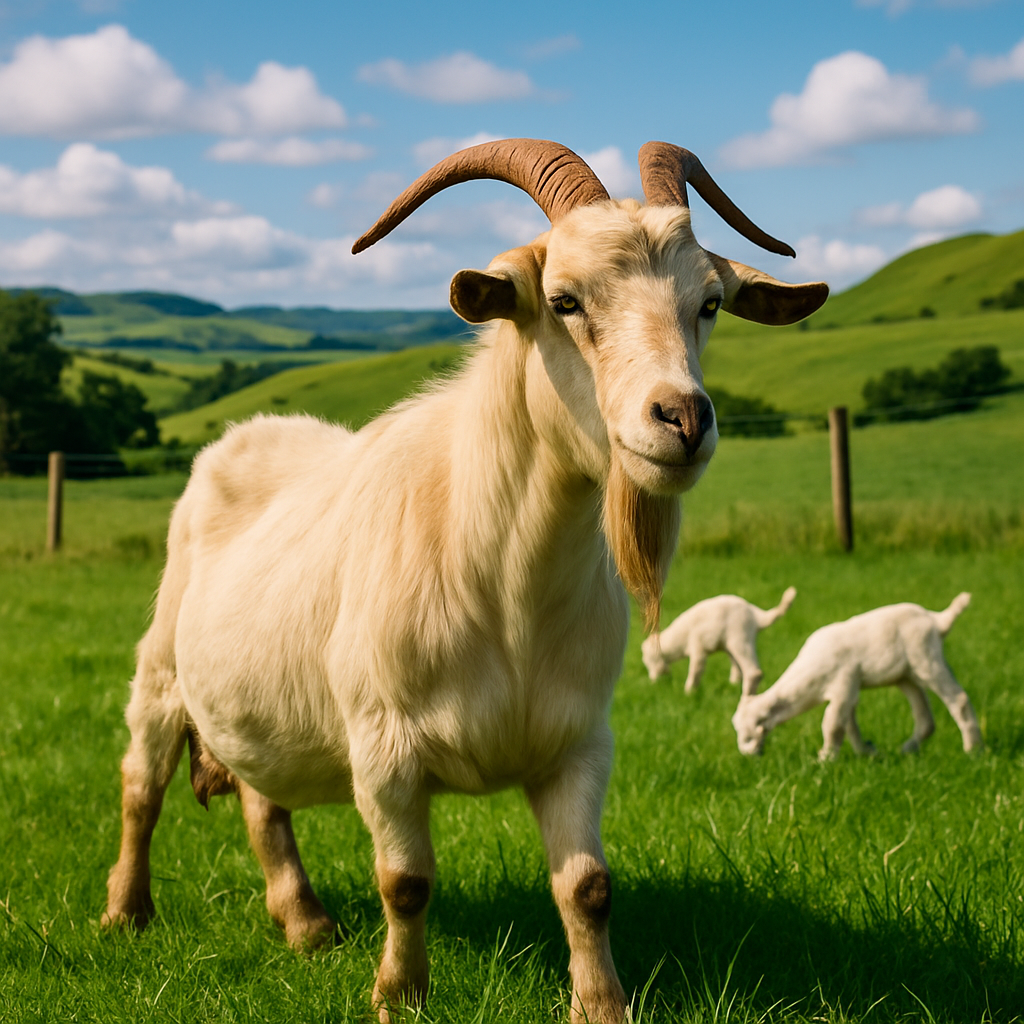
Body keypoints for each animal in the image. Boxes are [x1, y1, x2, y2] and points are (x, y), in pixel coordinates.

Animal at [642, 586, 796, 693]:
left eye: (649, 660)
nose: (652, 682)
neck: (678, 641)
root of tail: (756, 615)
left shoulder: (698, 648)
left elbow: (695, 671)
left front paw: (688, 692)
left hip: (740, 639)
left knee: (753, 672)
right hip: (733, 645)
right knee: (738, 669)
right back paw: (733, 686)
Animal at [732, 593, 981, 761]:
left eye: (750, 731)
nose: (747, 755)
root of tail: (936, 619)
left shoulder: (843, 684)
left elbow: (832, 725)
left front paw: (824, 760)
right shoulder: (848, 691)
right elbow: (849, 726)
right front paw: (867, 752)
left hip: (927, 659)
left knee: (958, 699)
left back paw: (973, 750)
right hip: (906, 676)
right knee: (926, 719)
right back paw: (907, 749)